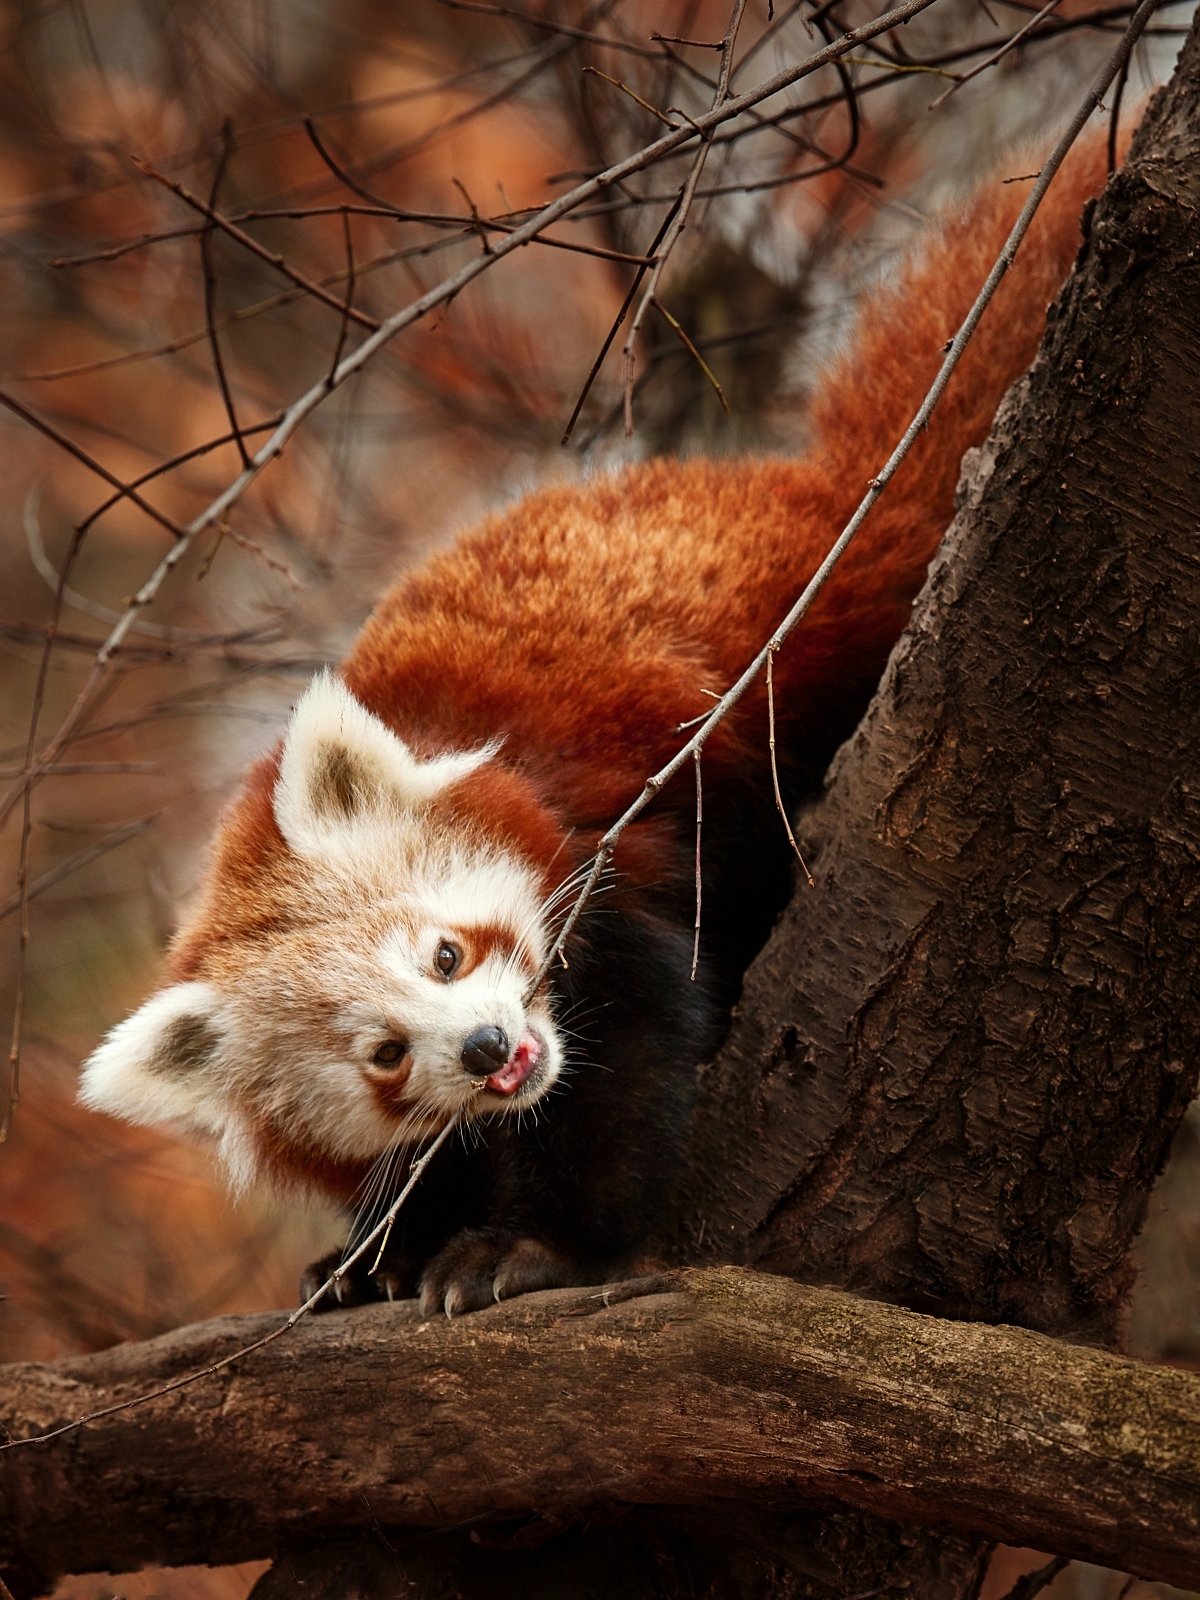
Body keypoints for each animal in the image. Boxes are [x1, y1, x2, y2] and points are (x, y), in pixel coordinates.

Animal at [80, 137, 1120, 1312]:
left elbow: (626, 1052)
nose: (488, 1047)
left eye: (446, 955)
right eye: (385, 1053)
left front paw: (527, 1248)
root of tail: (822, 496)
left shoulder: (593, 863)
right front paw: (370, 1260)